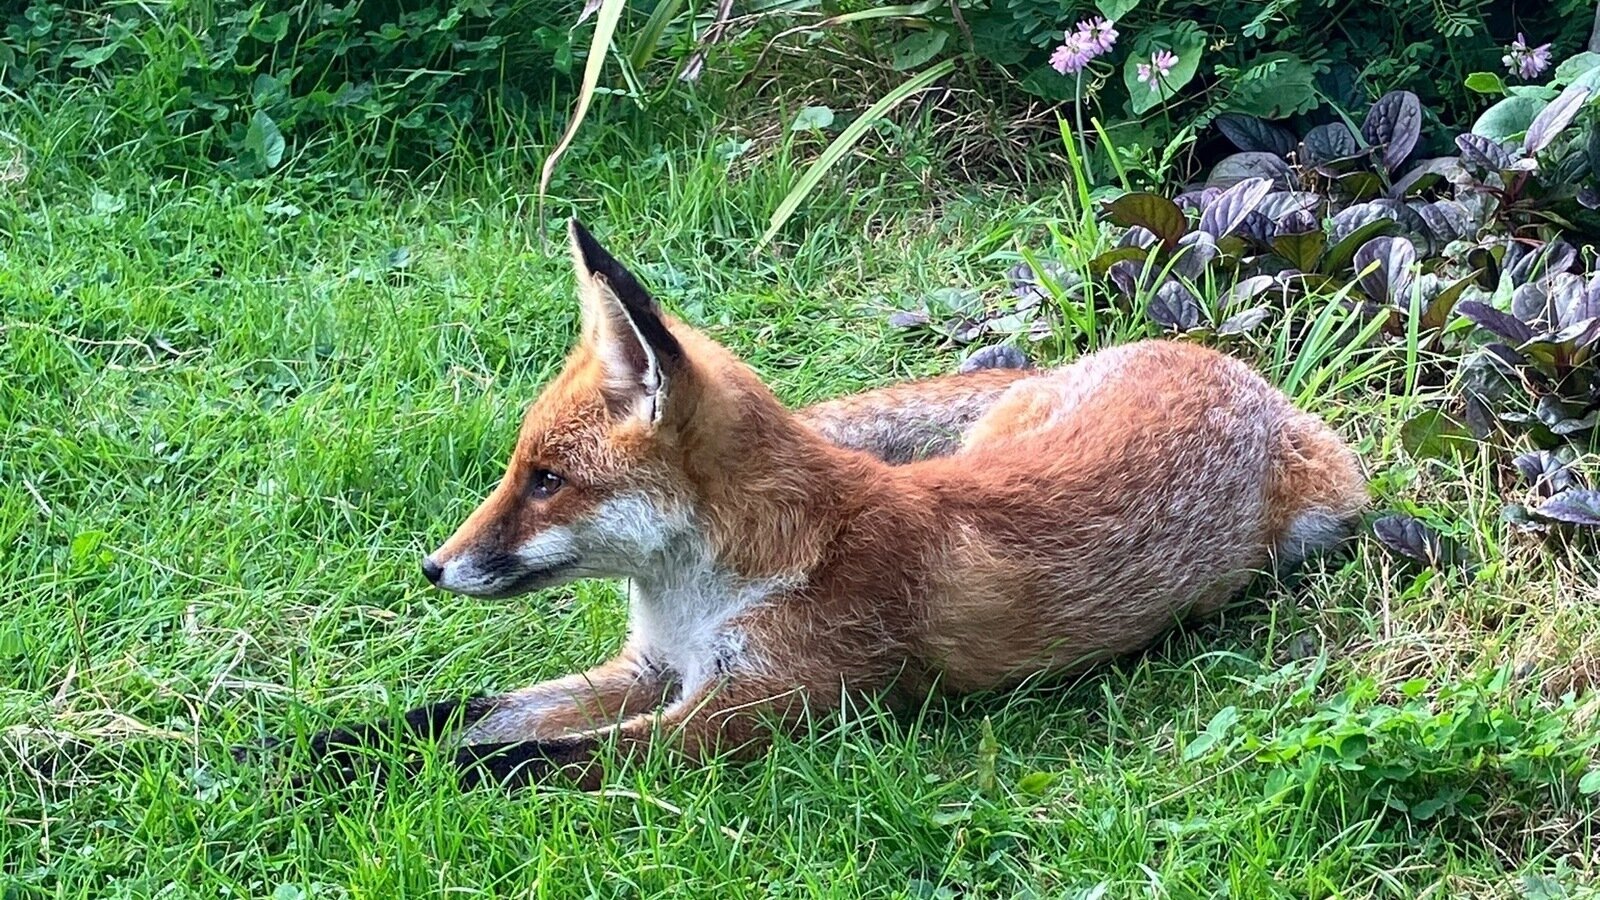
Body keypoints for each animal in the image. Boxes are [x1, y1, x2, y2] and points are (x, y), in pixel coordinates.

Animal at [272, 218, 1367, 792]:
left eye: (546, 480)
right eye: (517, 468)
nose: (432, 568)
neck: (703, 598)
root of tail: (1213, 360)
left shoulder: (745, 713)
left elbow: (509, 762)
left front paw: (319, 786)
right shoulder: (649, 670)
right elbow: (448, 717)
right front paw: (298, 748)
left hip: (1325, 524)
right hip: (992, 435)